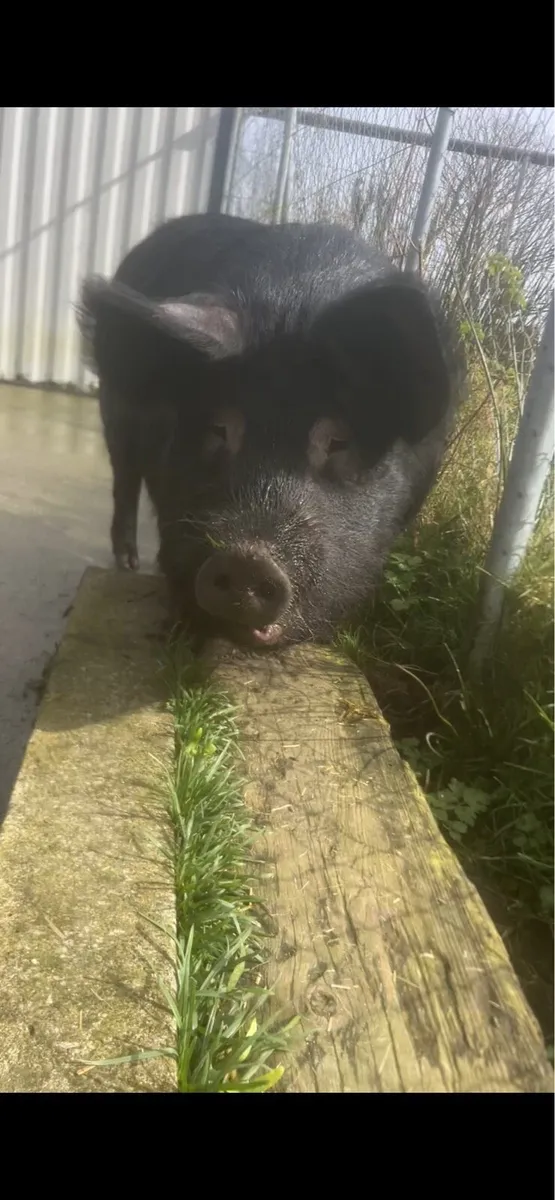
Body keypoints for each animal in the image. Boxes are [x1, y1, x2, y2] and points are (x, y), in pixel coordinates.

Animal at [78, 213, 464, 649]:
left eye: (338, 439)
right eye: (220, 427)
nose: (248, 558)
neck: (295, 297)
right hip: (115, 416)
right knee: (125, 479)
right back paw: (128, 563)